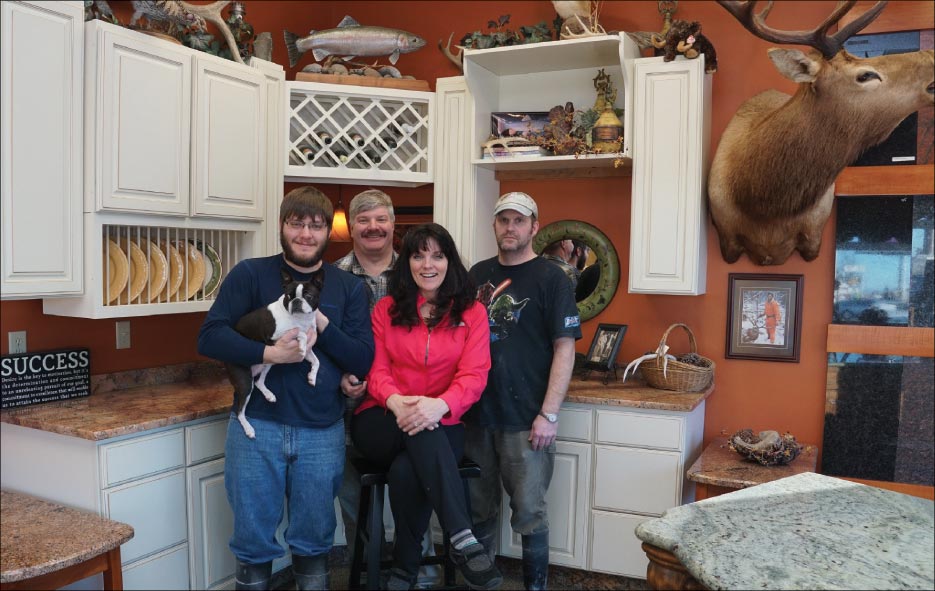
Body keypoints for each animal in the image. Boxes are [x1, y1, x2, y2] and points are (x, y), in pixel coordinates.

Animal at [227, 268, 326, 440]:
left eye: (308, 296)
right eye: (289, 296)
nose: (296, 301)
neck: (300, 319)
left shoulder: (308, 349)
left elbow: (316, 361)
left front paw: (312, 377)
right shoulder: (274, 338)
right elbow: (300, 333)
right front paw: (300, 342)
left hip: (269, 362)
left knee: (259, 382)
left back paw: (268, 394)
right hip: (245, 381)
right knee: (240, 411)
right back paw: (248, 429)